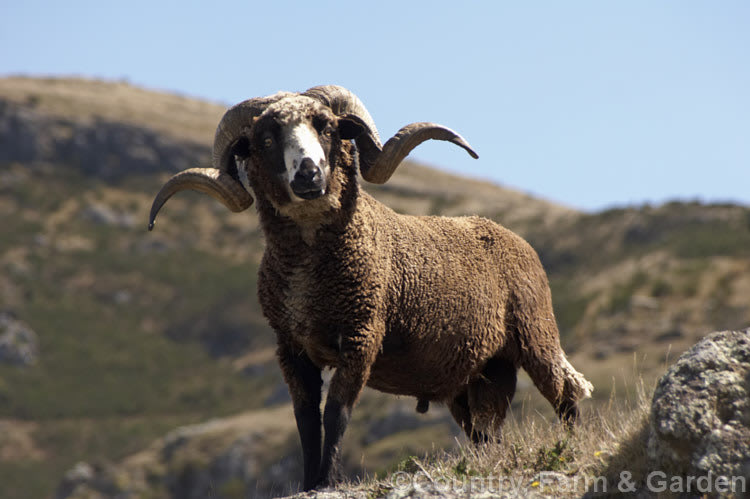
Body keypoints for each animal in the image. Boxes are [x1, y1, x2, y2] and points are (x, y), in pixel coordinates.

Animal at [148, 85, 593, 491]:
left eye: (326, 127)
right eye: (267, 139)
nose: (308, 174)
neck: (311, 278)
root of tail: (512, 237)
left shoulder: (361, 334)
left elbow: (337, 414)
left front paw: (327, 482)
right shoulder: (290, 347)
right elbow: (305, 420)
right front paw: (308, 483)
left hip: (536, 334)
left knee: (567, 393)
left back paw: (575, 446)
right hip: (478, 375)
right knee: (486, 432)